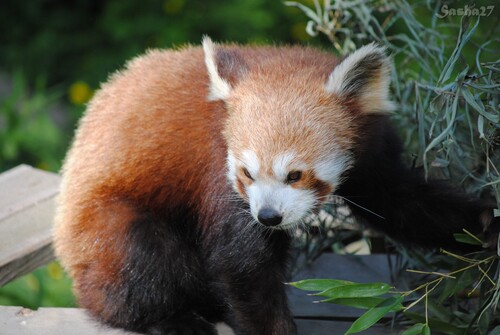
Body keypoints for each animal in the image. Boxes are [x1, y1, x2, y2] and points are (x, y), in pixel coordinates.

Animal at [53, 37, 496, 335]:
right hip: (104, 224)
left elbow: (404, 202)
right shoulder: (218, 170)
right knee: (140, 257)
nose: (268, 216)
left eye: (294, 174)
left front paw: (484, 224)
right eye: (248, 173)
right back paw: (174, 319)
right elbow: (243, 262)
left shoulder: (371, 155)